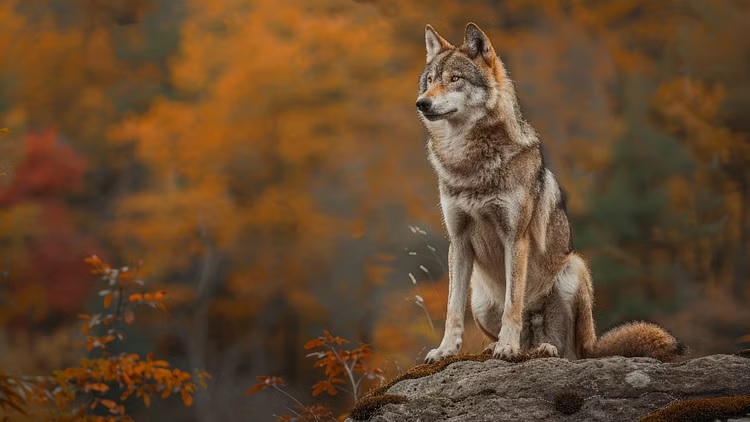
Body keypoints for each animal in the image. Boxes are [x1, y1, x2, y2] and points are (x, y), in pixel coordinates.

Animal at [416, 23, 684, 363]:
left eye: (455, 79)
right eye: (429, 80)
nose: (422, 103)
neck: (469, 162)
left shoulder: (515, 239)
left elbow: (513, 303)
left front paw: (507, 347)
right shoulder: (458, 242)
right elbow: (452, 309)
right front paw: (445, 350)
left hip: (575, 270)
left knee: (568, 351)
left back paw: (542, 348)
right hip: (480, 297)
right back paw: (504, 346)